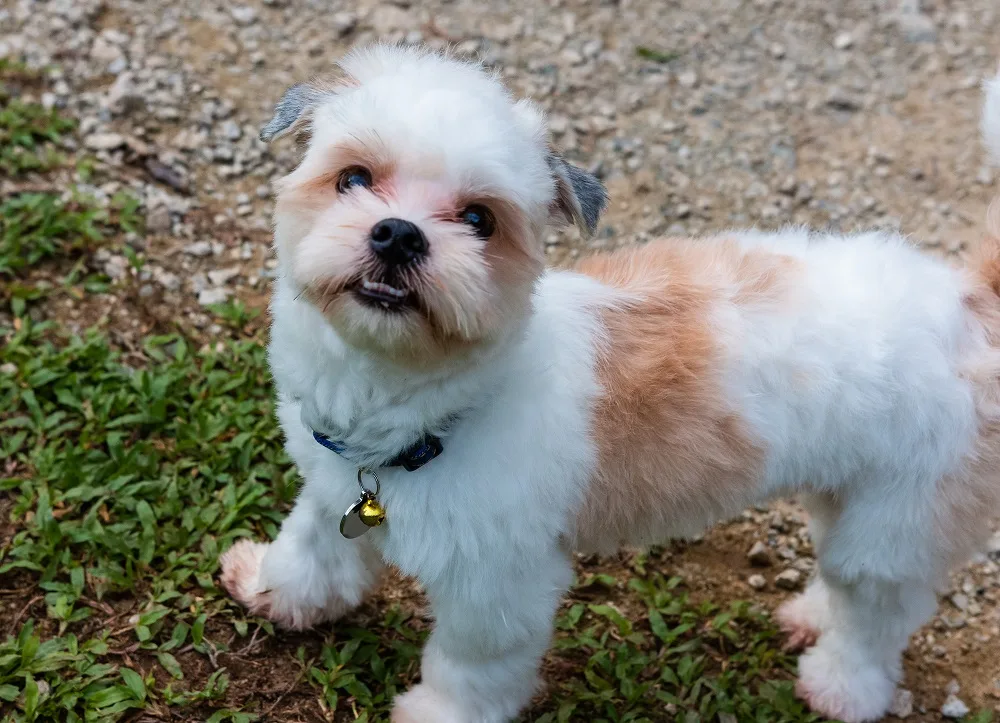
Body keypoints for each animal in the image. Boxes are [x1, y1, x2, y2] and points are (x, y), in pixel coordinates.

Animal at [223, 45, 1000, 723]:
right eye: (353, 178)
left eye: (479, 219)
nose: (398, 234)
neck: (420, 413)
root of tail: (967, 299)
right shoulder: (333, 485)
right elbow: (313, 547)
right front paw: (275, 588)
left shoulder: (497, 587)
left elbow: (469, 667)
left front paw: (438, 715)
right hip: (849, 493)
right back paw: (812, 614)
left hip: (900, 518)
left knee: (874, 611)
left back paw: (841, 686)